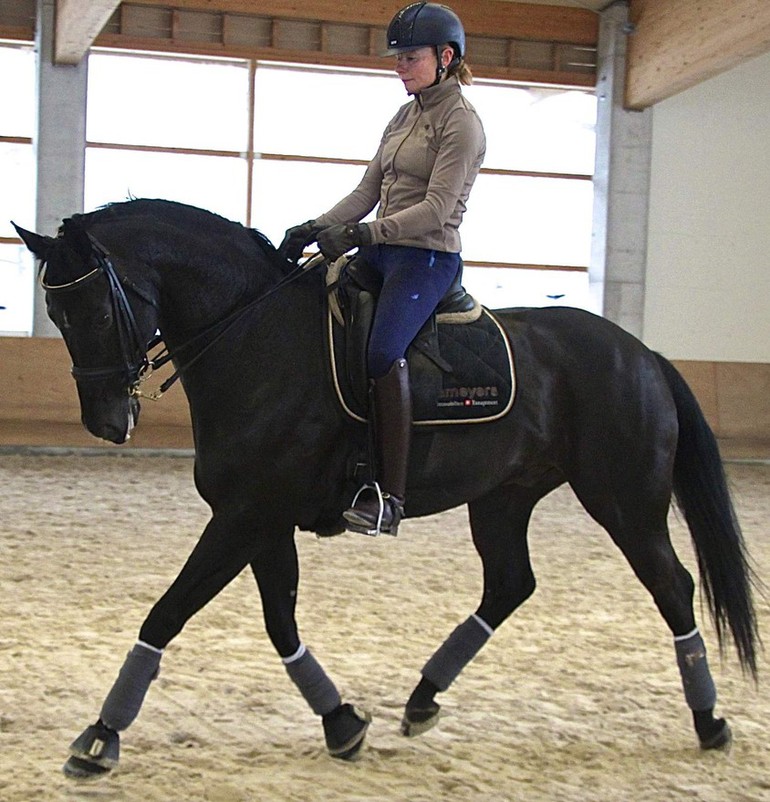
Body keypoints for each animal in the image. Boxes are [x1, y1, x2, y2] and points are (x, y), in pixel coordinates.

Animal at [15, 198, 760, 776]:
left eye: (94, 312)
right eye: (58, 314)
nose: (107, 423)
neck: (255, 339)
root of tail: (642, 353)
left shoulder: (244, 516)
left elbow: (167, 614)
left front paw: (100, 737)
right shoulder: (258, 518)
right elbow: (280, 623)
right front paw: (342, 723)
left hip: (625, 502)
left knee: (672, 587)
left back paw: (709, 721)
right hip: (504, 495)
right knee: (510, 584)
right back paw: (423, 698)